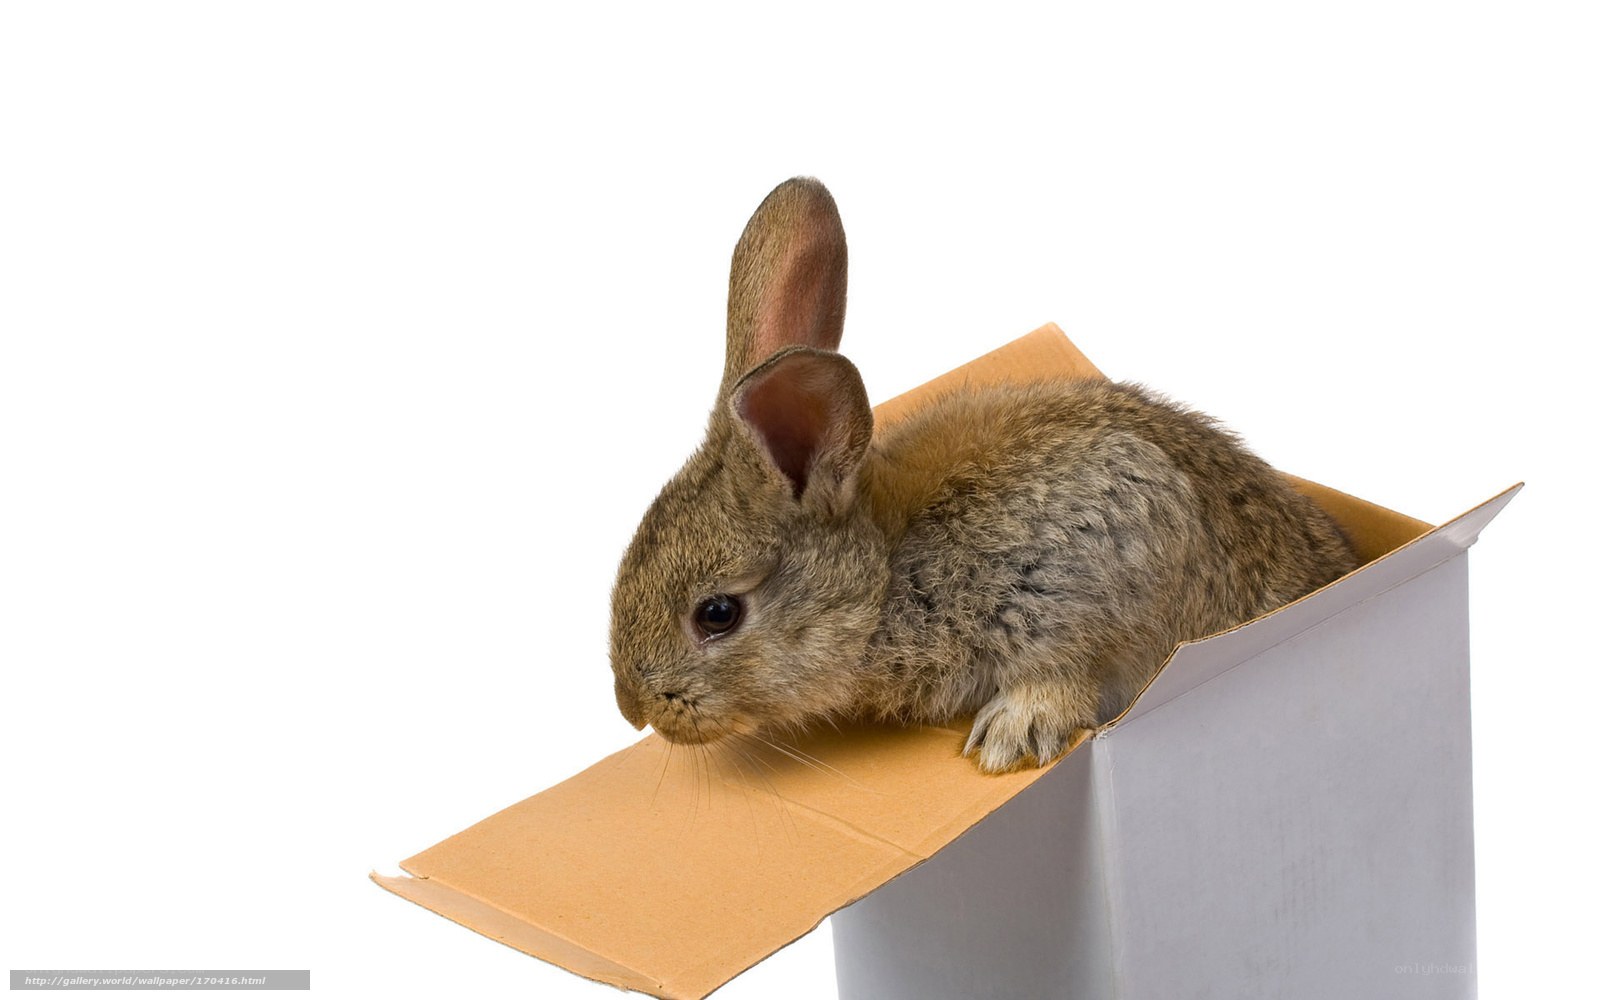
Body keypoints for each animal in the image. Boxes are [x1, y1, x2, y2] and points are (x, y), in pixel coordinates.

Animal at [608, 177, 1358, 773]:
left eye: (717, 613)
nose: (634, 708)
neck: (884, 575)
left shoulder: (1098, 561)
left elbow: (1072, 671)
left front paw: (1012, 736)